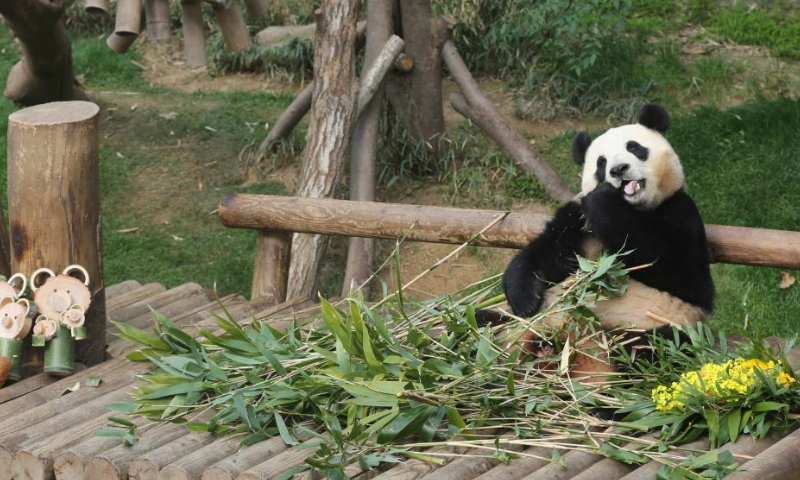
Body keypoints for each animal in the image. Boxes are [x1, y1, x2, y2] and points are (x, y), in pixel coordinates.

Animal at [497, 103, 715, 376]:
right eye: (601, 163)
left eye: (634, 147)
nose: (618, 170)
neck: (633, 207)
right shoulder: (578, 221)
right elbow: (549, 252)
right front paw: (524, 299)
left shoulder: (681, 212)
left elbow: (681, 270)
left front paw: (604, 201)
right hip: (530, 320)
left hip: (655, 326)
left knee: (650, 351)